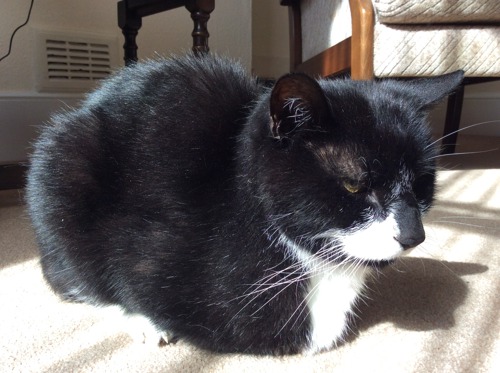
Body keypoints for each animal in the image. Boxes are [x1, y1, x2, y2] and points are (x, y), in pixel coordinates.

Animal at [26, 54, 464, 354]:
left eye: (422, 184)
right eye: (354, 185)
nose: (414, 235)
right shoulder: (148, 253)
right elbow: (123, 278)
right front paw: (145, 317)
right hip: (63, 167)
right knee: (68, 276)